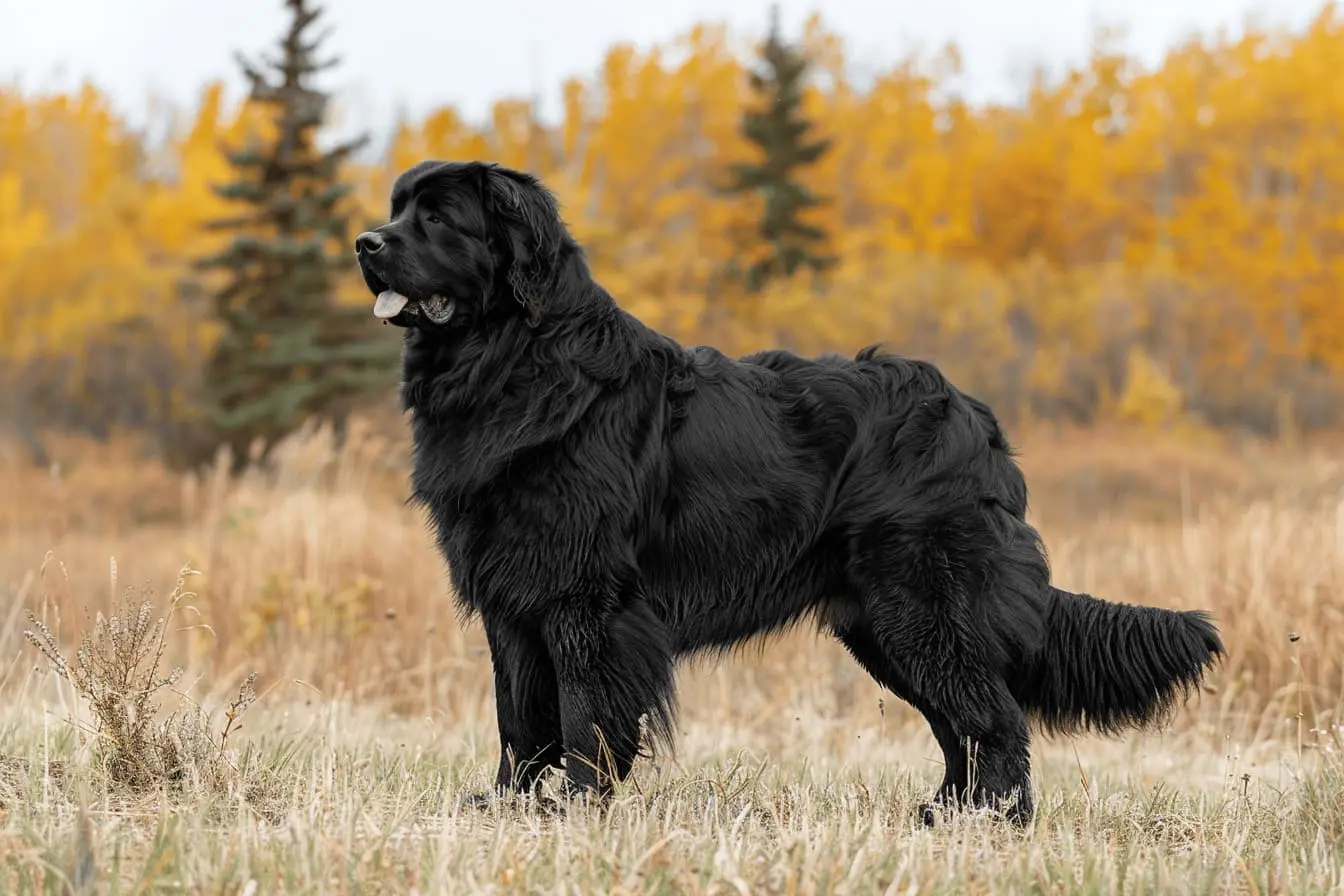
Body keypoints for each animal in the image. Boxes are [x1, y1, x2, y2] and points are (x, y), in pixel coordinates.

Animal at [352, 157, 1225, 822]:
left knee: (996, 720)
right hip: (884, 625)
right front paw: (505, 806)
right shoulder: (512, 600)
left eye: (438, 219)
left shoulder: (584, 602)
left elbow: (583, 719)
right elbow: (518, 719)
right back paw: (946, 815)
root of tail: (977, 422)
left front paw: (576, 807)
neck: (516, 360)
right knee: (962, 725)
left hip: (928, 609)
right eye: (396, 210)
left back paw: (997, 822)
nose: (364, 242)